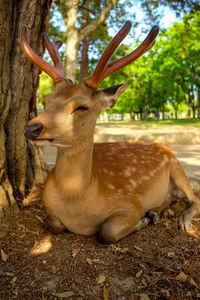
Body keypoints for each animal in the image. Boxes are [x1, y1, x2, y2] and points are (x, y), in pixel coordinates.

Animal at [21, 21, 199, 243]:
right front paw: (149, 216)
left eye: (82, 107)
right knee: (173, 198)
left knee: (194, 199)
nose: (31, 128)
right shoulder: (49, 208)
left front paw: (143, 220)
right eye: (46, 101)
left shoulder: (130, 203)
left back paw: (181, 221)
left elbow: (107, 232)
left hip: (178, 168)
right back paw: (156, 211)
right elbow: (53, 225)